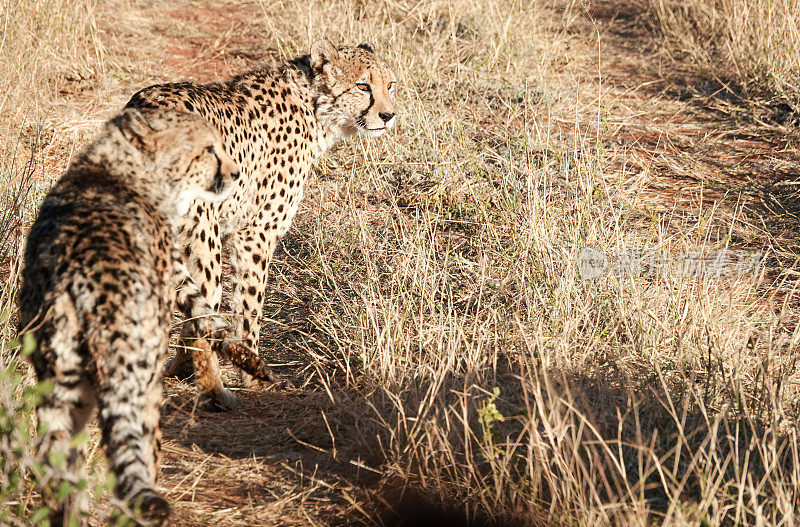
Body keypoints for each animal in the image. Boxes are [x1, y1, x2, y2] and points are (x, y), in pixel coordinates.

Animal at [18, 108, 238, 527]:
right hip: (141, 379)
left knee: (53, 459)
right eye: (207, 149)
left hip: (61, 380)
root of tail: (83, 276)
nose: (234, 174)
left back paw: (71, 514)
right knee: (140, 455)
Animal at [125, 40, 396, 408]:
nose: (388, 116)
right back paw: (215, 392)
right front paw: (253, 377)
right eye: (362, 86)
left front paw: (178, 368)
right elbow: (248, 307)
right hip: (201, 235)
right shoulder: (254, 233)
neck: (313, 106)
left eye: (390, 85)